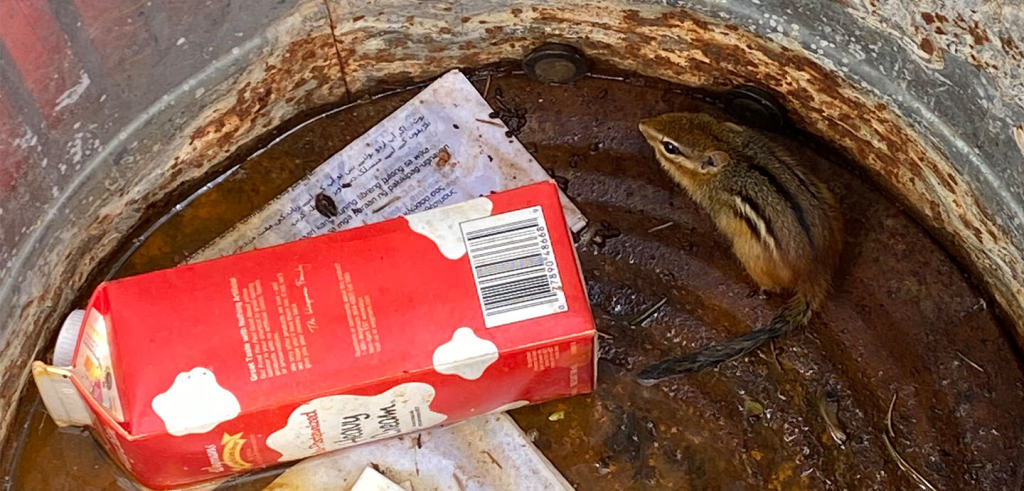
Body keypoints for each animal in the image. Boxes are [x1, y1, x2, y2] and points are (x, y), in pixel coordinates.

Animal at [635, 112, 842, 383]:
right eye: (685, 114)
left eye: (670, 147)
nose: (642, 124)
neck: (729, 149)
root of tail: (817, 270)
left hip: (750, 256)